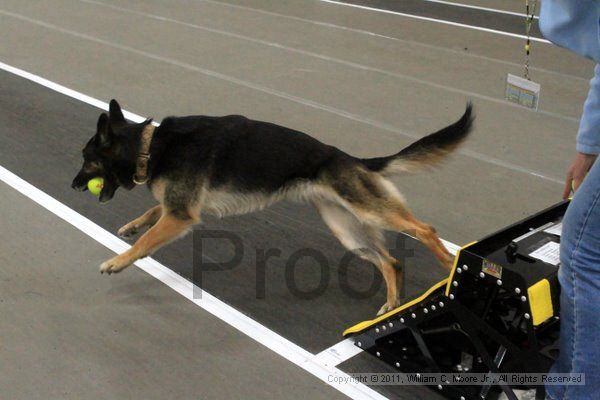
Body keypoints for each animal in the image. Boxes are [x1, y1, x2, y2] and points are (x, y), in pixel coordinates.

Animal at [71, 100, 474, 316]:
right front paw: (132, 224)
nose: (73, 185)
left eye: (87, 160)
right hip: (347, 230)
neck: (149, 146)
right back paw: (392, 302)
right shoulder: (180, 209)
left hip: (370, 212)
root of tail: (350, 159)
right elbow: (153, 214)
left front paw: (118, 262)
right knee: (391, 262)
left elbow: (145, 242)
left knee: (425, 230)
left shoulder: (181, 215)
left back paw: (448, 266)